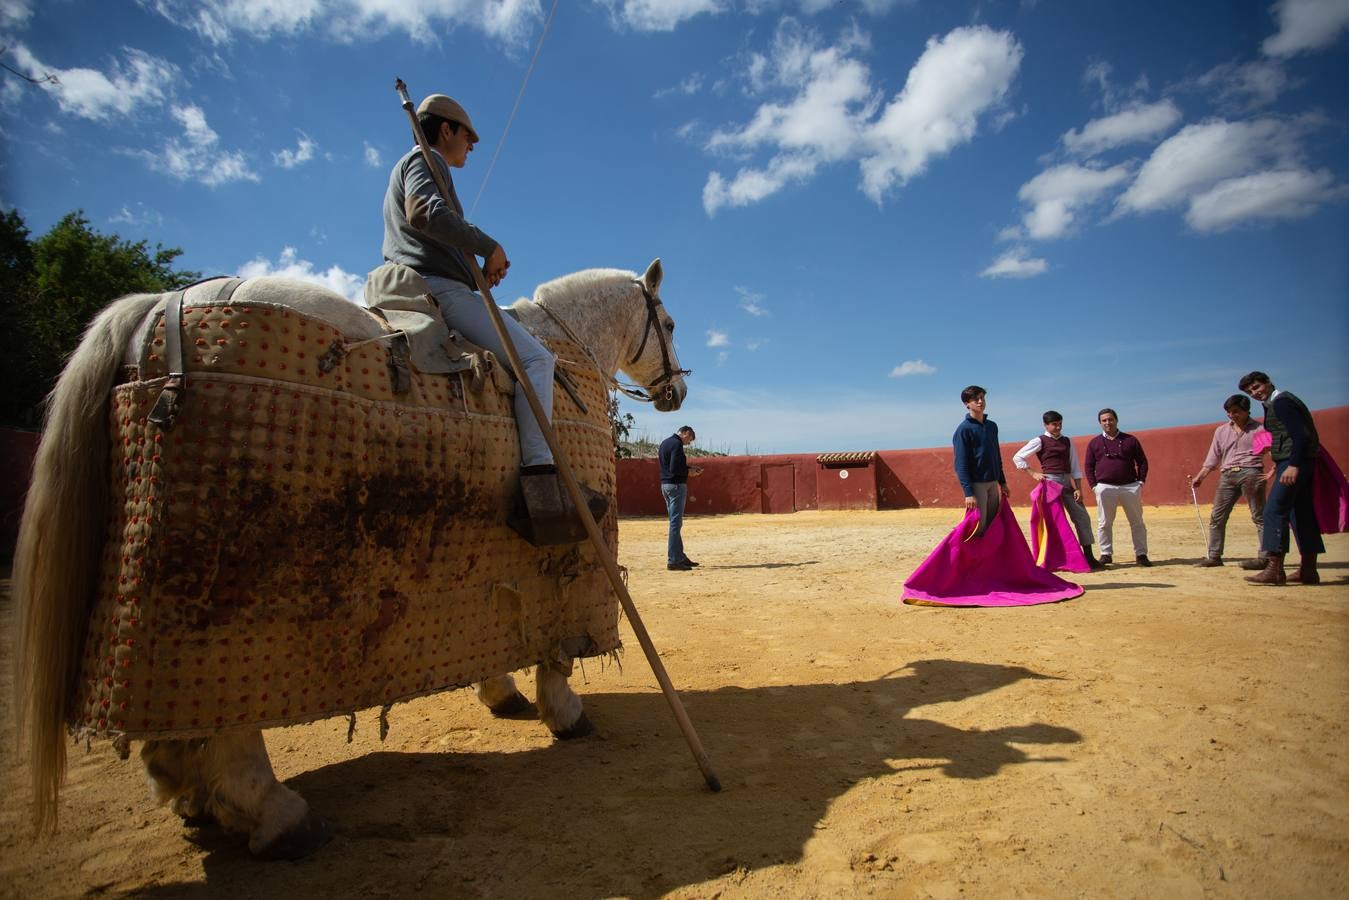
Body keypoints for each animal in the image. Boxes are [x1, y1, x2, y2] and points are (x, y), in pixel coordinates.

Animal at [18, 259, 696, 858]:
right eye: (667, 320)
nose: (678, 390)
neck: (564, 350)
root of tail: (162, 305)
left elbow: (501, 626)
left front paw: (502, 694)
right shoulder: (574, 556)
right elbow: (557, 650)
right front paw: (566, 713)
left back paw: (192, 795)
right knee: (232, 722)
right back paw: (275, 815)